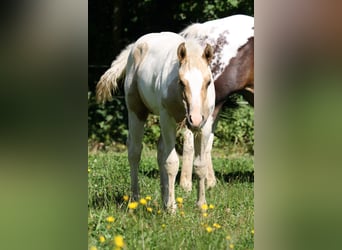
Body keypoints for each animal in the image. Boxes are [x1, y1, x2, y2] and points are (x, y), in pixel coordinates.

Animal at [95, 31, 214, 211]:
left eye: (208, 82)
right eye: (181, 82)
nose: (194, 119)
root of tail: (135, 46)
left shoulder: (204, 125)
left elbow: (200, 165)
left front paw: (201, 207)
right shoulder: (167, 119)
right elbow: (171, 163)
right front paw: (172, 208)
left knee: (161, 150)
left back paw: (164, 200)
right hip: (136, 112)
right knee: (135, 151)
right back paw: (136, 199)